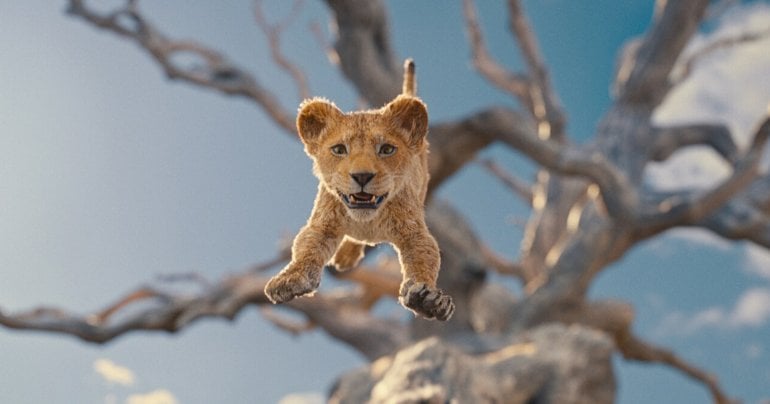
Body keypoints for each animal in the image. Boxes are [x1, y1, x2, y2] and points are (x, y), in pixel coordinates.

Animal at [264, 60, 455, 321]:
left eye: (387, 149)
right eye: (339, 149)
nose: (362, 176)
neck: (367, 220)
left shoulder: (414, 232)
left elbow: (424, 259)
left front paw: (429, 299)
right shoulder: (322, 224)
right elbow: (306, 248)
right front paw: (289, 279)